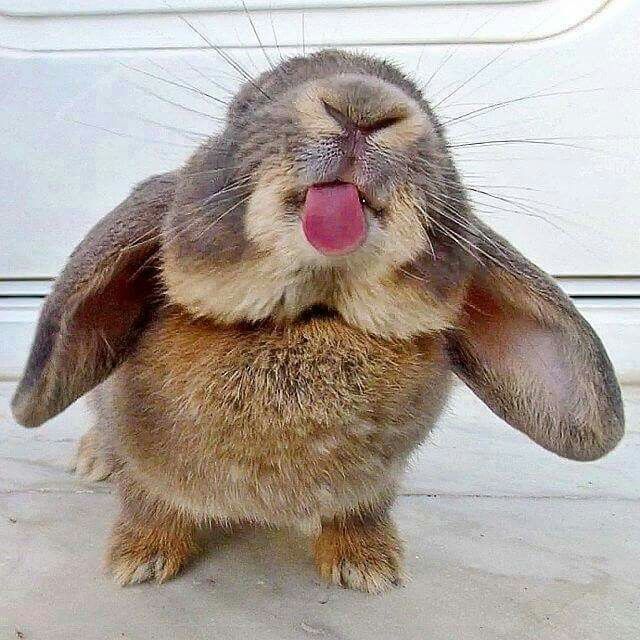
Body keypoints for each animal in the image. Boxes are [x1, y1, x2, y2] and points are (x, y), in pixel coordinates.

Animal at [11, 50, 624, 596]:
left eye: (439, 129)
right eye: (243, 107)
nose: (363, 106)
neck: (311, 313)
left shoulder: (375, 485)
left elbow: (361, 515)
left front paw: (368, 568)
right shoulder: (144, 467)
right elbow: (147, 503)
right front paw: (139, 561)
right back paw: (93, 460)